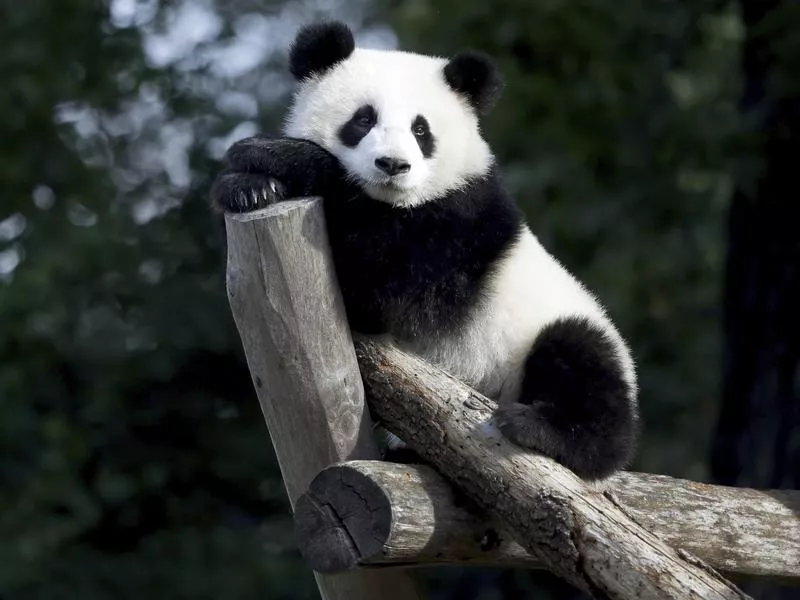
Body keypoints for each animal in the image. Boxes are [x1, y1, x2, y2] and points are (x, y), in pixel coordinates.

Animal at [211, 19, 636, 478]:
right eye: (363, 119)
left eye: (421, 129)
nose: (393, 165)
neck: (397, 201)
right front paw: (248, 187)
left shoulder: (461, 224)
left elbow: (388, 289)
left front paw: (278, 156)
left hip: (551, 334)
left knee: (582, 362)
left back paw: (542, 428)